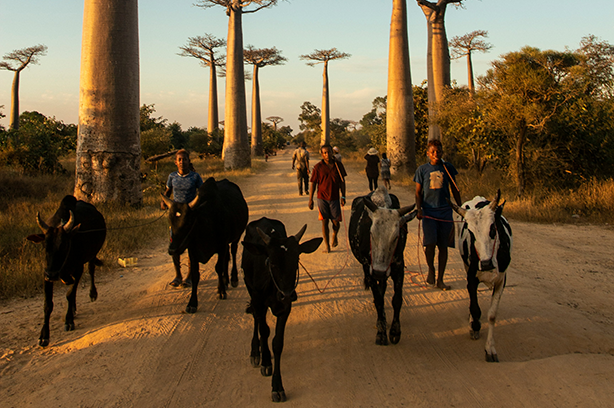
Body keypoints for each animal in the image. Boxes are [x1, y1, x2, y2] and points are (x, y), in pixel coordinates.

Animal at [26, 195, 107, 348]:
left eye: (64, 245)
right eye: (45, 245)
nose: (53, 275)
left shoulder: (78, 269)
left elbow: (69, 294)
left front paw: (69, 321)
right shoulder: (45, 274)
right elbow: (48, 304)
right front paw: (44, 336)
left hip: (92, 255)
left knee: (91, 270)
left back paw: (92, 294)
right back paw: (73, 308)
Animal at [162, 177, 251, 314]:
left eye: (188, 222)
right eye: (170, 221)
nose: (172, 249)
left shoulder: (221, 245)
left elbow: (218, 267)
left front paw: (221, 291)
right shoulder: (193, 251)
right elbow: (195, 275)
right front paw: (192, 303)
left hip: (236, 237)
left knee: (233, 252)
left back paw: (233, 279)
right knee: (226, 259)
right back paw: (225, 281)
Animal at [243, 218, 324, 404]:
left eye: (296, 260)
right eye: (272, 262)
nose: (287, 294)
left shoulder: (286, 308)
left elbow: (277, 343)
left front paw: (277, 387)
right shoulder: (259, 300)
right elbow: (264, 331)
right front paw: (266, 361)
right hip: (251, 290)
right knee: (256, 319)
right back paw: (255, 351)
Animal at [352, 187, 418, 344]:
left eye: (396, 237)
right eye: (371, 233)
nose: (379, 272)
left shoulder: (399, 266)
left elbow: (397, 299)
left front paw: (395, 331)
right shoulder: (369, 268)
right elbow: (379, 300)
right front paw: (381, 332)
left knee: (383, 286)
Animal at [452, 190, 516, 362]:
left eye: (493, 228)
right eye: (471, 232)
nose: (486, 264)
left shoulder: (501, 281)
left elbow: (492, 315)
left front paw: (490, 349)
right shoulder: (471, 278)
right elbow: (475, 308)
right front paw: (474, 326)